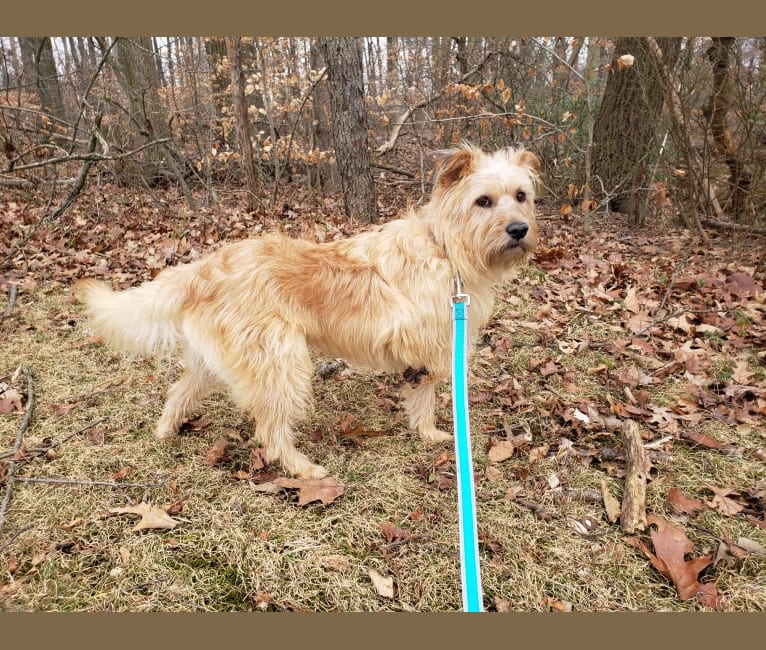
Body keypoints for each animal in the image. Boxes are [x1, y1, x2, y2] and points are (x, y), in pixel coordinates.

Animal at [73, 143, 540, 476]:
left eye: (521, 196)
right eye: (483, 201)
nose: (520, 229)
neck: (445, 248)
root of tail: (202, 270)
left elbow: (418, 396)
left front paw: (426, 434)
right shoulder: (431, 347)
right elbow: (424, 396)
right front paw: (430, 432)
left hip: (216, 363)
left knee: (178, 393)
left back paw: (165, 432)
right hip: (280, 362)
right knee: (270, 430)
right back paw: (302, 468)